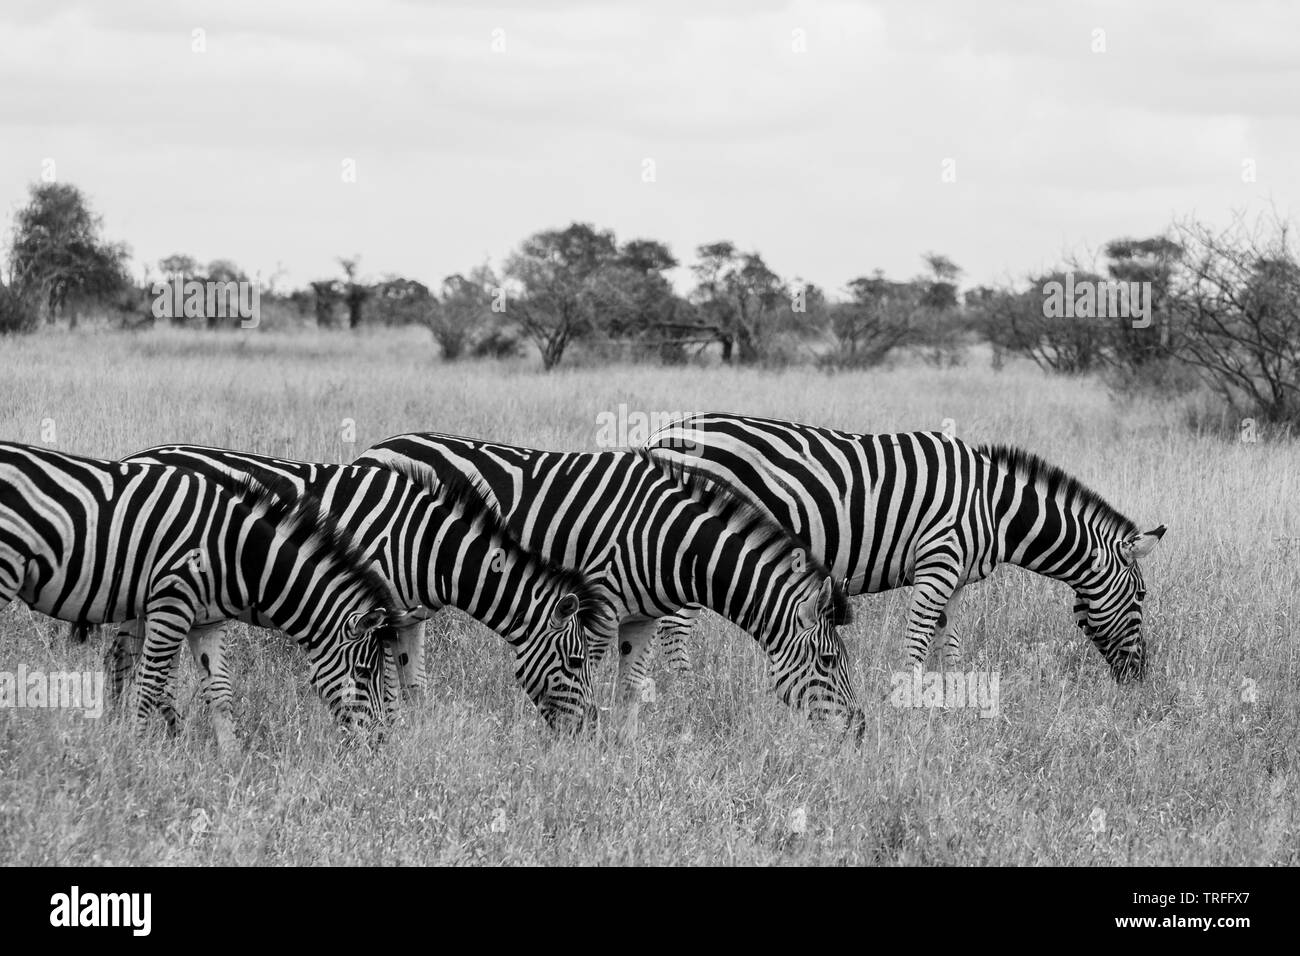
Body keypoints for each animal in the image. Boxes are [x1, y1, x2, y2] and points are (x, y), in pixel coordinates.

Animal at [0, 441, 395, 749]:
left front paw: (232, 763)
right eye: (363, 672)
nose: (379, 742)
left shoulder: (208, 622)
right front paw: (135, 752)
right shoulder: (171, 605)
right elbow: (150, 684)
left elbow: (220, 692)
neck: (237, 551)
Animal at [114, 444, 602, 732]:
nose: (591, 731)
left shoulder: (409, 618)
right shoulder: (376, 614)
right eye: (577, 662)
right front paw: (387, 736)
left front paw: (412, 740)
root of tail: (138, 455)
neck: (425, 543)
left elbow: (414, 685)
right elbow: (384, 686)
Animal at [351, 431, 865, 740]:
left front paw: (623, 754)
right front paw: (585, 747)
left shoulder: (643, 618)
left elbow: (630, 692)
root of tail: (374, 448)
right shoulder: (596, 611)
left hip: (415, 597)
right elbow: (584, 682)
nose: (859, 731)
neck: (669, 539)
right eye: (828, 660)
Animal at [643, 414, 1166, 682]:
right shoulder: (939, 562)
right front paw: (907, 706)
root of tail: (661, 432)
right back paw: (684, 690)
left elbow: (949, 644)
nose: (1141, 678)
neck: (994, 507)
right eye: (1141, 597)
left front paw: (956, 704)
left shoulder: (956, 579)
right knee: (674, 625)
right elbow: (917, 641)